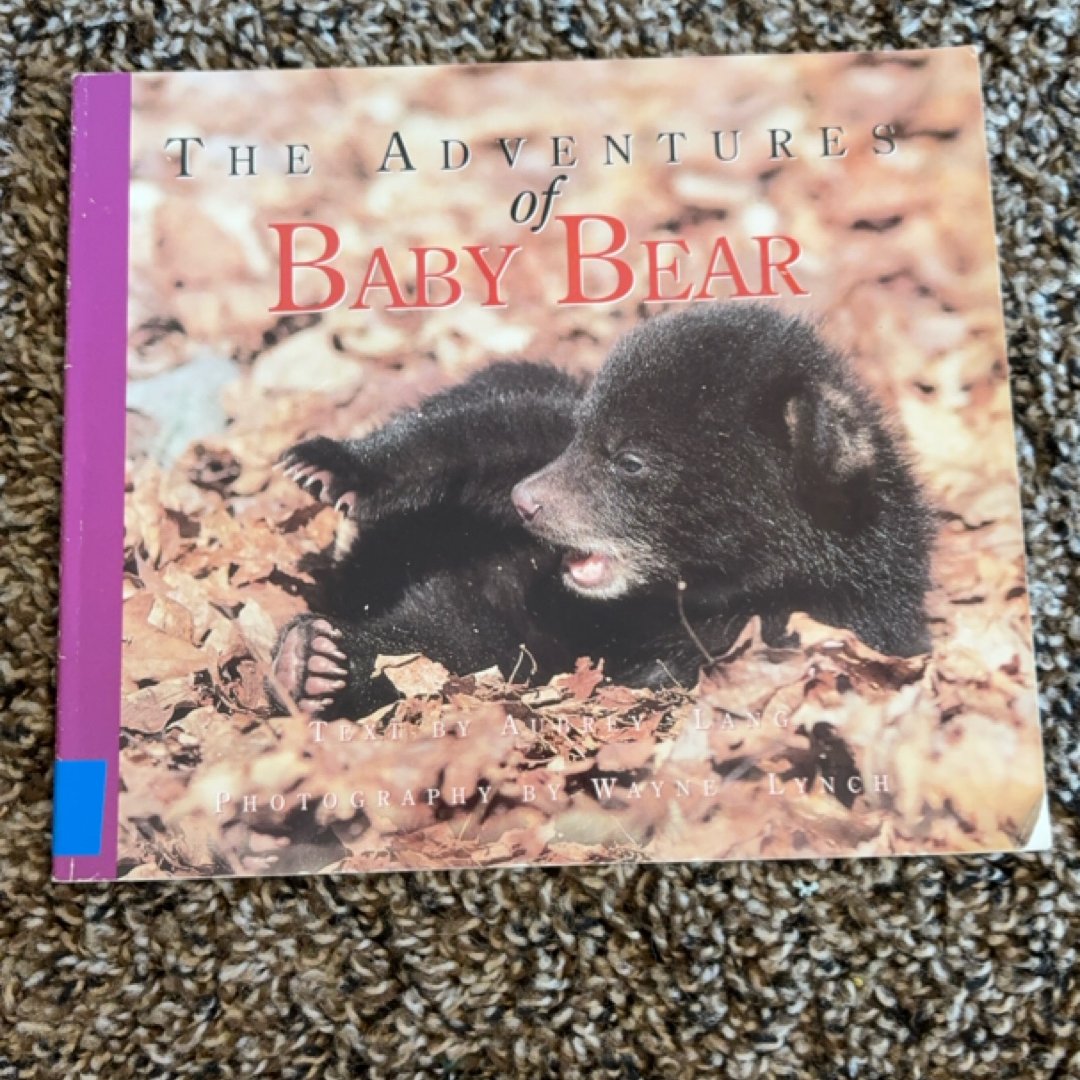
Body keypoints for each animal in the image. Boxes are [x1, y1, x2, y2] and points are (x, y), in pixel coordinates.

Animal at [271, 303, 934, 717]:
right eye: (591, 437)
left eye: (632, 462)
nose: (527, 502)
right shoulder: (546, 428)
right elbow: (495, 427)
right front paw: (336, 465)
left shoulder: (833, 613)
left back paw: (313, 663)